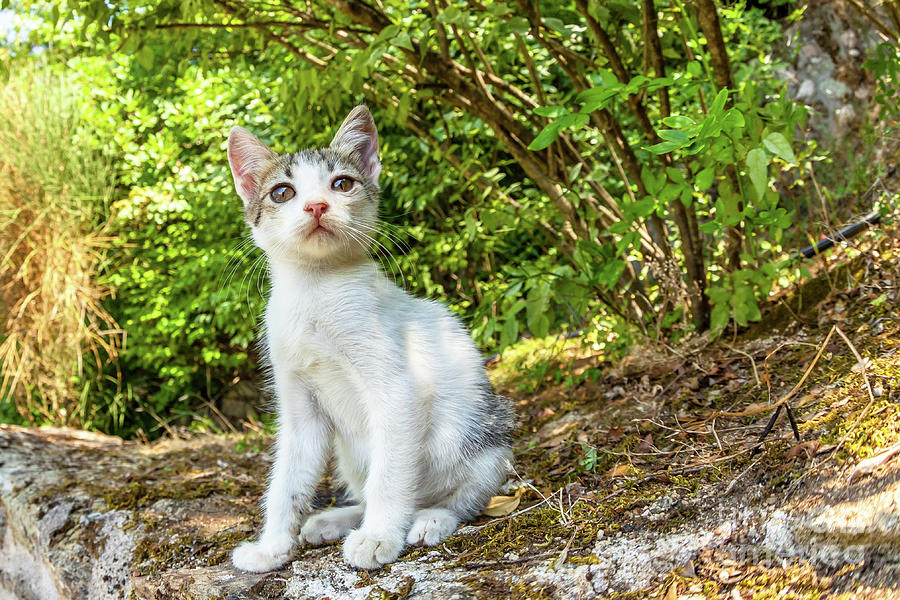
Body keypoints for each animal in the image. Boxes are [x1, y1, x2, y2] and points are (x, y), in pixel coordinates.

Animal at [225, 106, 512, 572]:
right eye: (282, 193)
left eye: (342, 184)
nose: (317, 205)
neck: (316, 290)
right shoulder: (299, 406)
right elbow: (287, 480)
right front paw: (272, 547)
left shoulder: (398, 390)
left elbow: (390, 474)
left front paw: (379, 537)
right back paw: (338, 520)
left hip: (479, 434)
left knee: (466, 494)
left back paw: (430, 518)